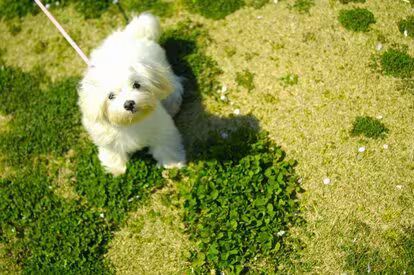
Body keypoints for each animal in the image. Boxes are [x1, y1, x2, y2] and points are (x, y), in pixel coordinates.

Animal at [78, 12, 185, 176]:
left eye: (136, 85)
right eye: (111, 96)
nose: (129, 104)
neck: (131, 122)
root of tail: (131, 33)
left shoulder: (162, 129)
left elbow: (166, 145)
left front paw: (172, 164)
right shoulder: (106, 137)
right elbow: (112, 152)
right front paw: (116, 169)